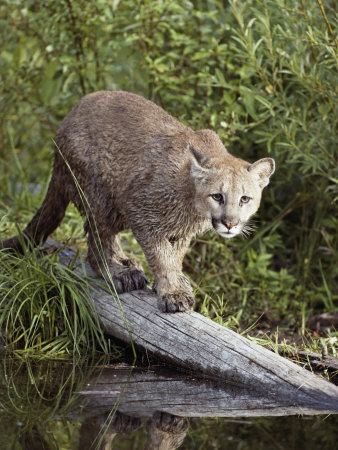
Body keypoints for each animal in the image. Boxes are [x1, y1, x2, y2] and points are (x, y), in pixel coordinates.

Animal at [0, 91, 274, 312]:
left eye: (245, 199)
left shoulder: (181, 231)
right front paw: (173, 292)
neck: (192, 203)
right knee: (97, 242)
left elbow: (176, 256)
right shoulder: (143, 213)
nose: (230, 223)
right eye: (217, 196)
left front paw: (175, 282)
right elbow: (161, 256)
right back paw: (119, 272)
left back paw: (126, 261)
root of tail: (63, 124)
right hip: (99, 194)